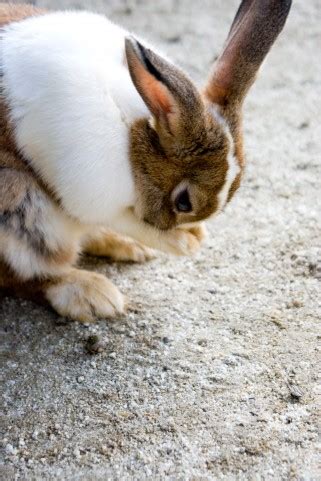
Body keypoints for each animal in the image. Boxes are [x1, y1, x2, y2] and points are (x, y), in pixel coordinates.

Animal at [0, 1, 290, 320]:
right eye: (184, 202)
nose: (192, 231)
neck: (131, 134)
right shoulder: (93, 197)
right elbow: (129, 221)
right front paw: (185, 242)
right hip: (24, 207)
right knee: (24, 276)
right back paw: (92, 293)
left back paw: (127, 248)